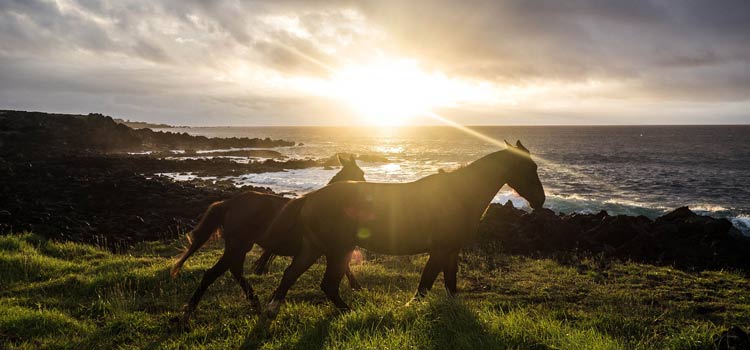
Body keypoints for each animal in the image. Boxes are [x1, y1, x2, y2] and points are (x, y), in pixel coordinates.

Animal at [171, 156, 370, 326]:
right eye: (361, 174)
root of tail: (229, 203)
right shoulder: (328, 246)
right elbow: (344, 268)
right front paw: (357, 287)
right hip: (237, 245)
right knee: (212, 274)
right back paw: (187, 313)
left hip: (240, 247)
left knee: (235, 271)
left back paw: (255, 302)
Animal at [264, 141, 548, 316]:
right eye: (528, 167)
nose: (540, 200)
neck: (459, 194)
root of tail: (310, 197)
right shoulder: (439, 250)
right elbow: (425, 285)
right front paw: (407, 309)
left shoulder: (452, 251)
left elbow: (451, 284)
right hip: (338, 250)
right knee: (328, 285)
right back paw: (350, 312)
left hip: (314, 247)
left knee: (290, 275)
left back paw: (272, 310)